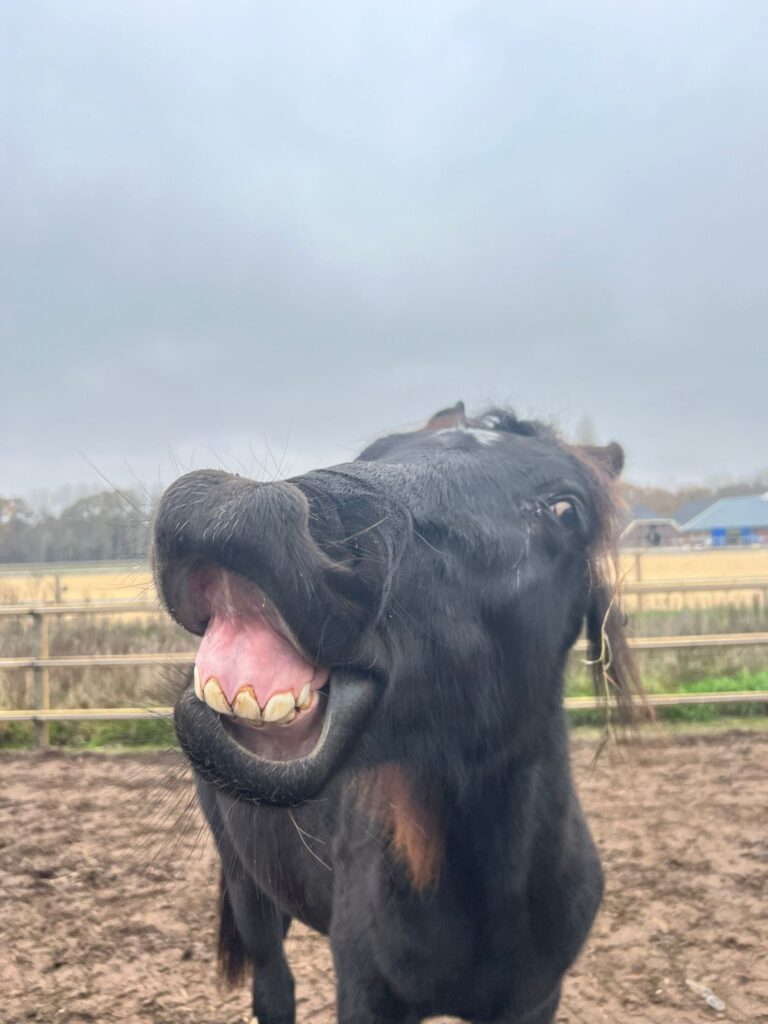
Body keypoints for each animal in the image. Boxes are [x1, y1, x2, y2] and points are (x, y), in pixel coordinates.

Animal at [153, 405, 638, 1024]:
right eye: (374, 454)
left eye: (566, 509)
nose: (232, 511)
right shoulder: (366, 994)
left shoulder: (535, 1001)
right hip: (248, 889)